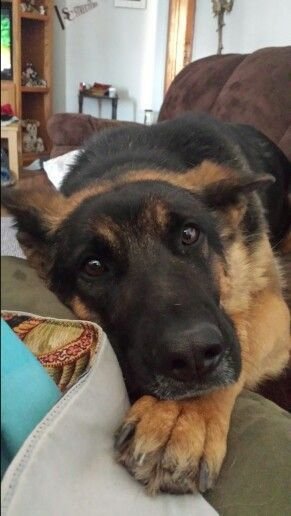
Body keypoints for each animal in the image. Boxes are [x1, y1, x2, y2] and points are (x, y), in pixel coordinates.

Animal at [2, 115, 291, 494]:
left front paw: (185, 417)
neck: (126, 163)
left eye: (189, 235)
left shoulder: (275, 309)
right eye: (94, 266)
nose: (193, 356)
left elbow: (241, 335)